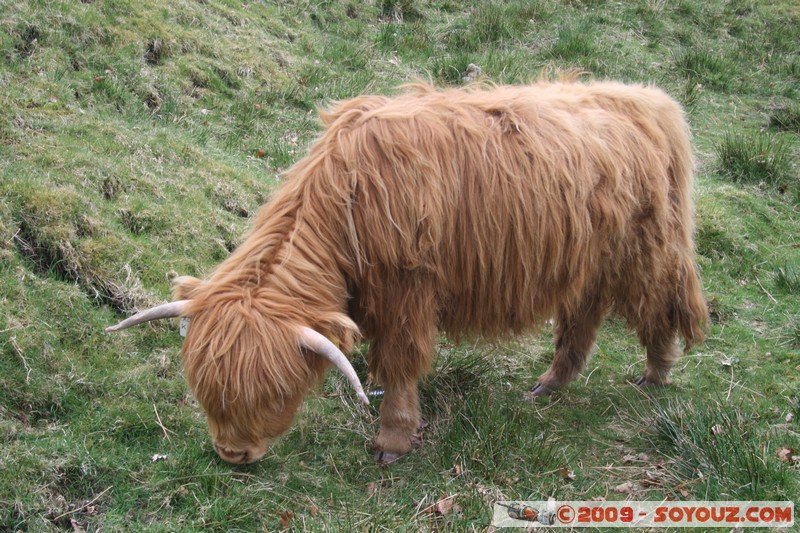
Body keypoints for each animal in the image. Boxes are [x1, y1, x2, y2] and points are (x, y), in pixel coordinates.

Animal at [104, 78, 708, 462]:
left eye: (274, 393)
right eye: (204, 388)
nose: (232, 454)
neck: (346, 199)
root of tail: (650, 99)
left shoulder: (406, 290)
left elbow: (400, 363)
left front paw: (392, 441)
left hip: (649, 247)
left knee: (664, 301)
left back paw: (655, 373)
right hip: (587, 257)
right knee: (583, 315)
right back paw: (550, 384)